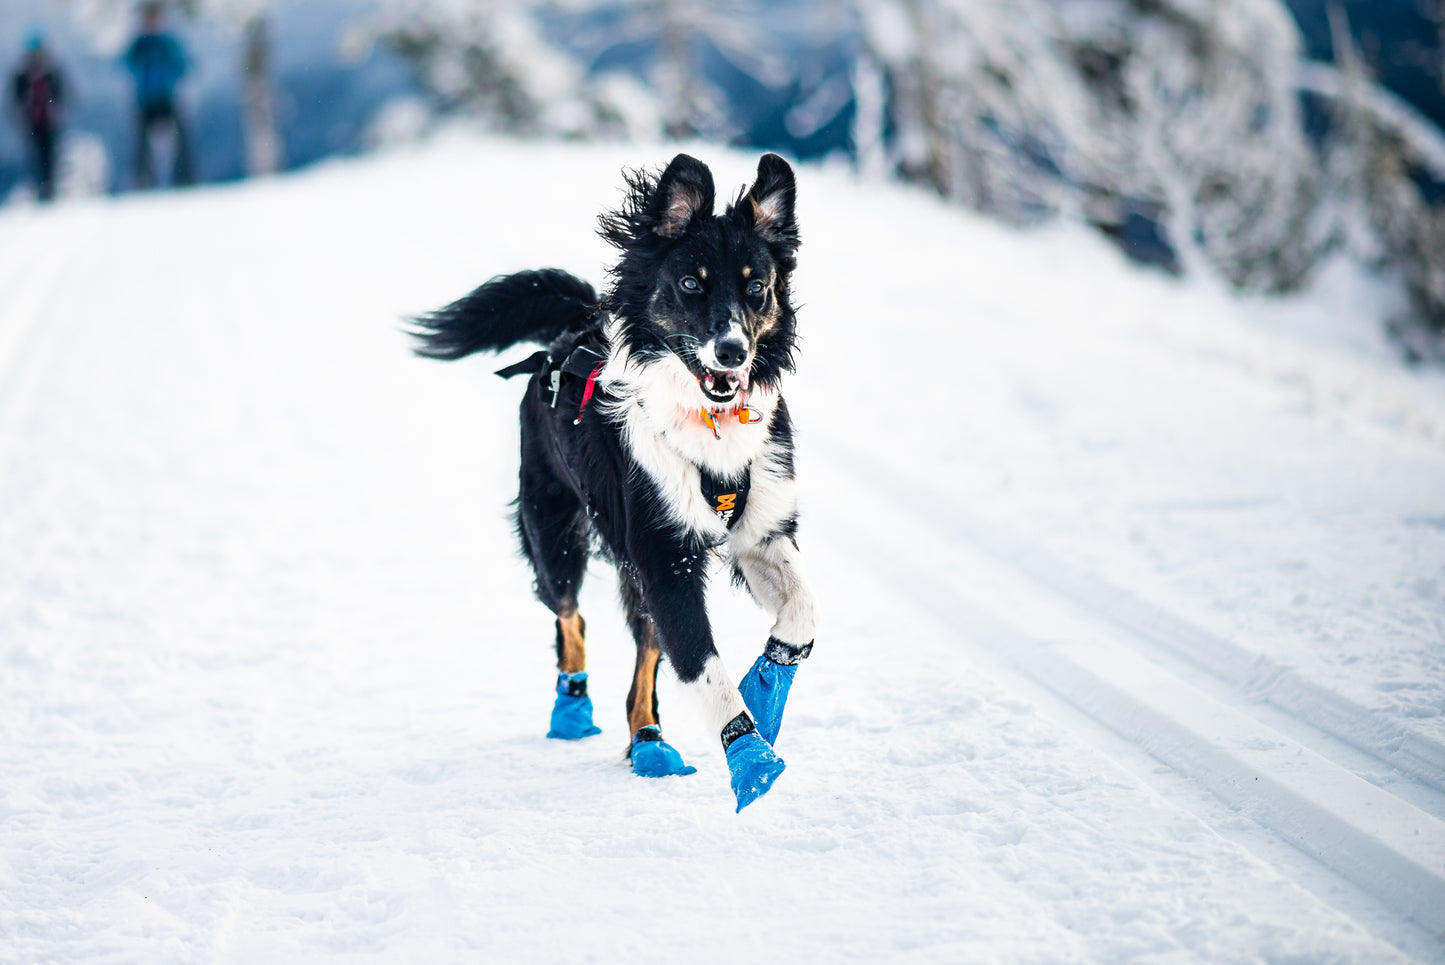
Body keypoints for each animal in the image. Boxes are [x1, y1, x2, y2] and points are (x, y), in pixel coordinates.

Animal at [413, 152, 820, 814]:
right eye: (690, 284)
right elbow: (703, 666)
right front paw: (750, 758)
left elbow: (802, 614)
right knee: (570, 616)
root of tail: (564, 343)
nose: (732, 352)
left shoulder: (762, 532)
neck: (708, 427)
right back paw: (574, 710)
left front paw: (764, 691)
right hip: (557, 535)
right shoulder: (663, 555)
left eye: (756, 286)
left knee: (642, 661)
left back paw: (648, 742)